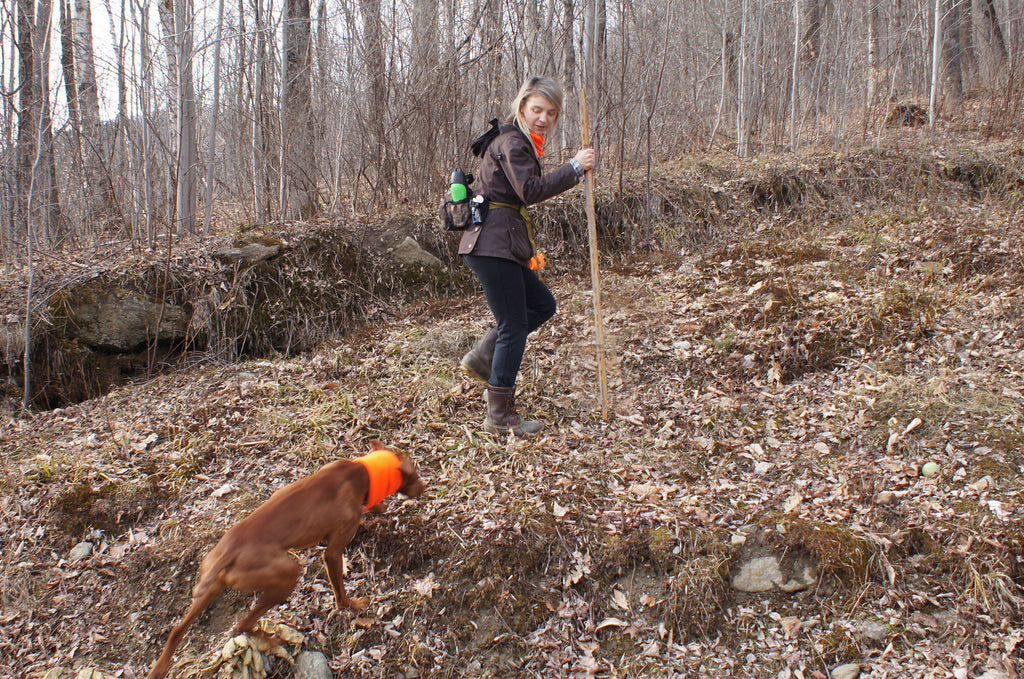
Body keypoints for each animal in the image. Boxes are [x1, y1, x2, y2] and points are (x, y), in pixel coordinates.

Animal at [147, 440, 423, 679]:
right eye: (415, 474)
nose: (425, 487)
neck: (359, 472)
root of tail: (228, 553)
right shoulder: (332, 552)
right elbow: (340, 591)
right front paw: (351, 605)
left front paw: (378, 508)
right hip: (287, 573)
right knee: (243, 623)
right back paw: (271, 640)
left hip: (209, 587)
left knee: (178, 630)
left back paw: (161, 666)